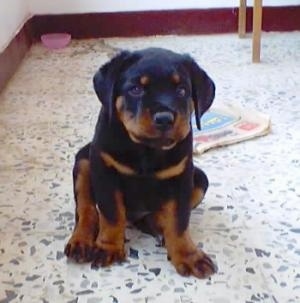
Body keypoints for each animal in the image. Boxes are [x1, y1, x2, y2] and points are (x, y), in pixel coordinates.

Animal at [64, 48, 217, 280]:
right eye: (136, 89)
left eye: (182, 90)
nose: (164, 118)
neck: (146, 150)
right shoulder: (104, 171)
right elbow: (112, 213)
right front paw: (108, 247)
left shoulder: (182, 177)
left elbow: (179, 220)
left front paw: (188, 255)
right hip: (83, 162)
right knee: (86, 210)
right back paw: (81, 242)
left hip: (200, 178)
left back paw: (159, 228)